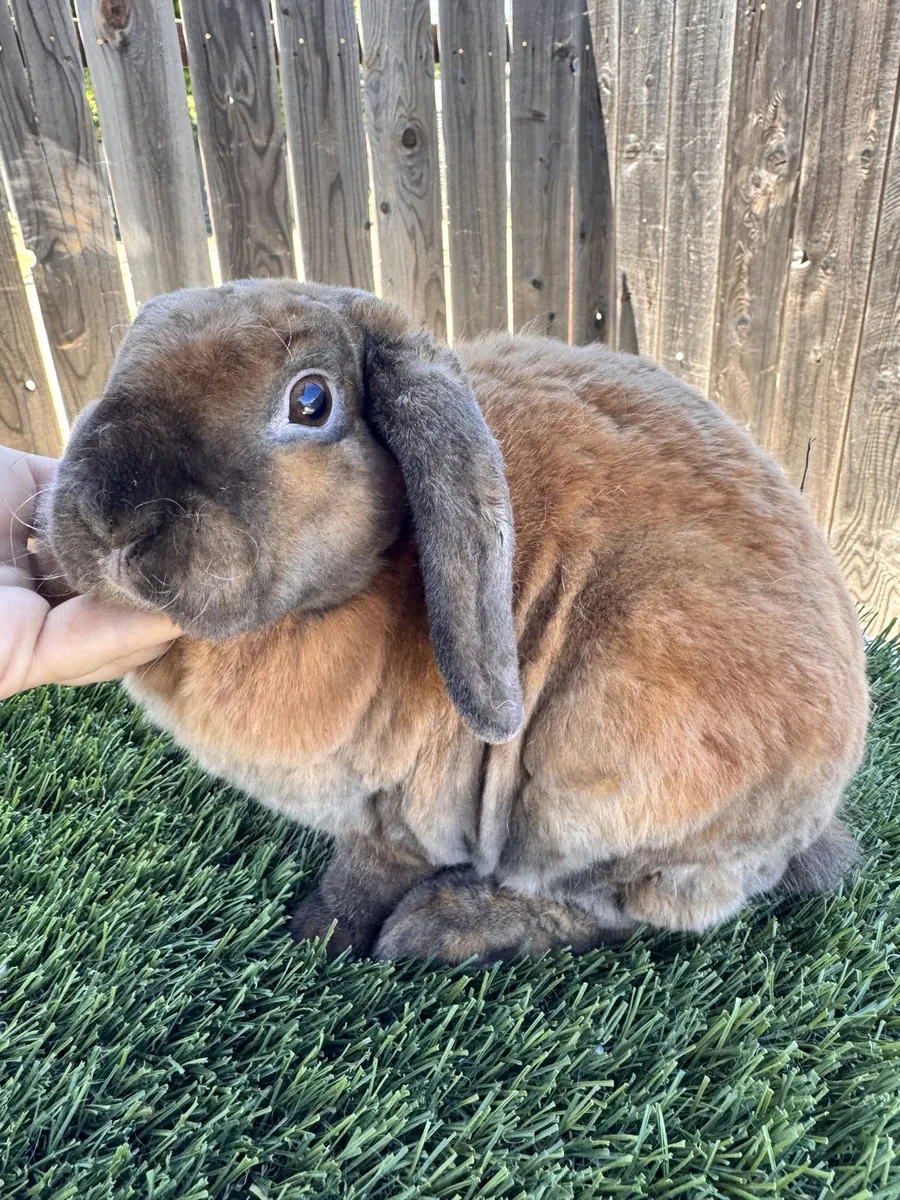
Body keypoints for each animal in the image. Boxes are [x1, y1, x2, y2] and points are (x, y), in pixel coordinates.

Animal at [38, 278, 869, 964]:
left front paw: (317, 938)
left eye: (310, 402)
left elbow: (363, 878)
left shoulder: (397, 819)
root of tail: (810, 819)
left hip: (600, 772)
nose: (112, 521)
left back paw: (444, 929)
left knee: (614, 908)